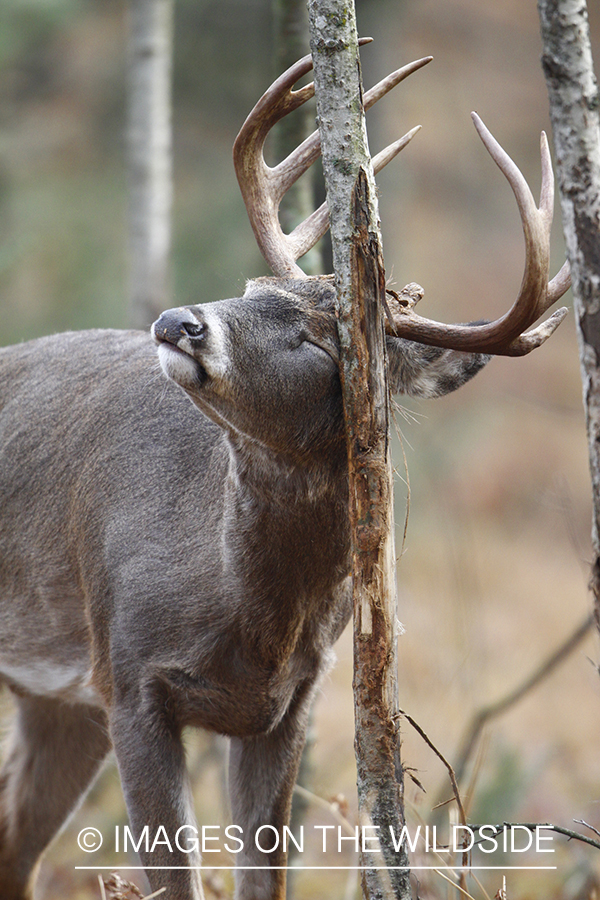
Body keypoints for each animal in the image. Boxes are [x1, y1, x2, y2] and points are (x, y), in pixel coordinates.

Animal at [0, 47, 568, 900]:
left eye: (321, 339)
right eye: (252, 290)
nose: (179, 322)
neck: (246, 616)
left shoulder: (286, 705)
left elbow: (261, 876)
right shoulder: (128, 678)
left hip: (55, 703)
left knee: (15, 849)